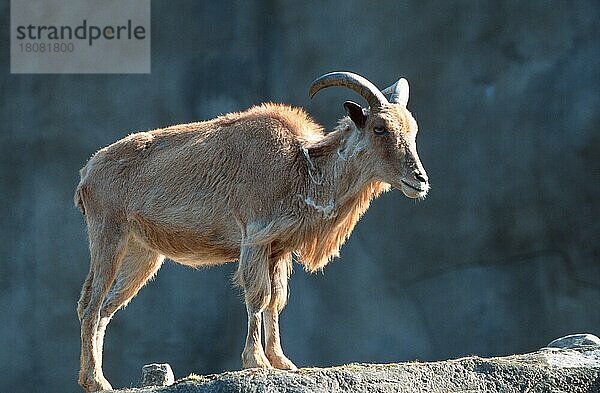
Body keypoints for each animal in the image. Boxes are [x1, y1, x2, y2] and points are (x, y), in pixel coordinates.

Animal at [75, 72, 428, 390]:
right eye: (379, 128)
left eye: (412, 130)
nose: (420, 180)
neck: (302, 169)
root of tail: (87, 173)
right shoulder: (255, 238)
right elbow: (259, 296)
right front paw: (256, 360)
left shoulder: (277, 250)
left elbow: (277, 300)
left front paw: (282, 361)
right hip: (108, 237)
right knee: (90, 305)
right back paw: (96, 381)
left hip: (142, 255)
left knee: (106, 308)